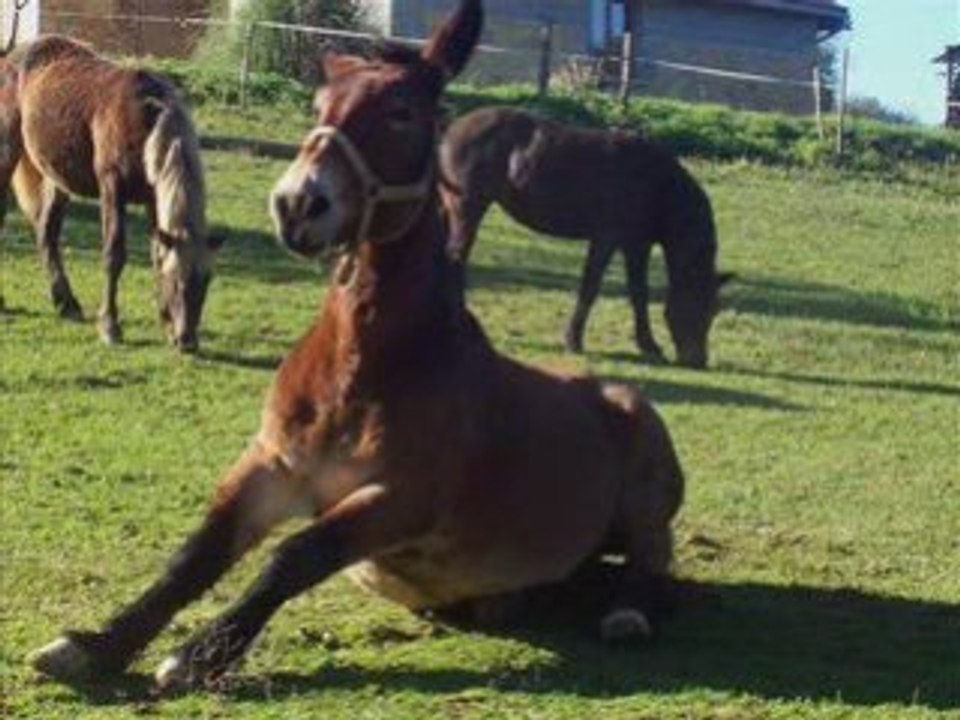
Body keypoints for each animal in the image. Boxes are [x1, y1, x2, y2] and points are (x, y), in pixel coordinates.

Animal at [0, 35, 223, 351]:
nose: (187, 341)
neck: (146, 122)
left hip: (57, 178)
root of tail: (12, 56)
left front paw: (165, 324)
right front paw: (110, 325)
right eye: (176, 281)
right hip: (7, 154)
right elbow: (114, 254)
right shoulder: (112, 188)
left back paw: (66, 303)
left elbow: (157, 253)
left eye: (206, 281)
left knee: (47, 234)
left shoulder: (152, 198)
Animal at [30, 0, 685, 690]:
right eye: (320, 106)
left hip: (647, 481)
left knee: (654, 559)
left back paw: (627, 613)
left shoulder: (401, 500)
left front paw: (200, 653)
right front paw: (94, 645)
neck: (358, 368)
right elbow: (197, 554)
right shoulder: (270, 464)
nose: (298, 204)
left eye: (401, 112)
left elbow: (297, 553)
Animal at [440, 107, 733, 369]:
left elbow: (639, 292)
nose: (697, 360)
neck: (656, 185)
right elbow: (591, 286)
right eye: (696, 303)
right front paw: (574, 341)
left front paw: (649, 345)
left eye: (714, 309)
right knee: (455, 258)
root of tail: (451, 129)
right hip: (467, 209)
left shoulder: (636, 245)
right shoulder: (607, 238)